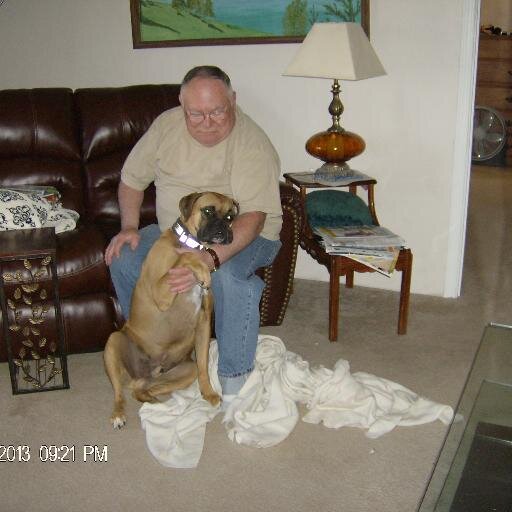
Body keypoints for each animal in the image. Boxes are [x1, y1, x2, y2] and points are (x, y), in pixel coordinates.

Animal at [105, 192, 240, 428]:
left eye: (230, 217)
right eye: (208, 211)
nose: (223, 229)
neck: (193, 244)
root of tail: (144, 375)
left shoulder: (204, 323)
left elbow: (203, 365)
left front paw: (208, 393)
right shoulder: (161, 292)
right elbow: (184, 257)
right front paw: (201, 268)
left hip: (182, 372)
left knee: (140, 390)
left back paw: (158, 404)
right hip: (113, 342)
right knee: (120, 393)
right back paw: (119, 414)